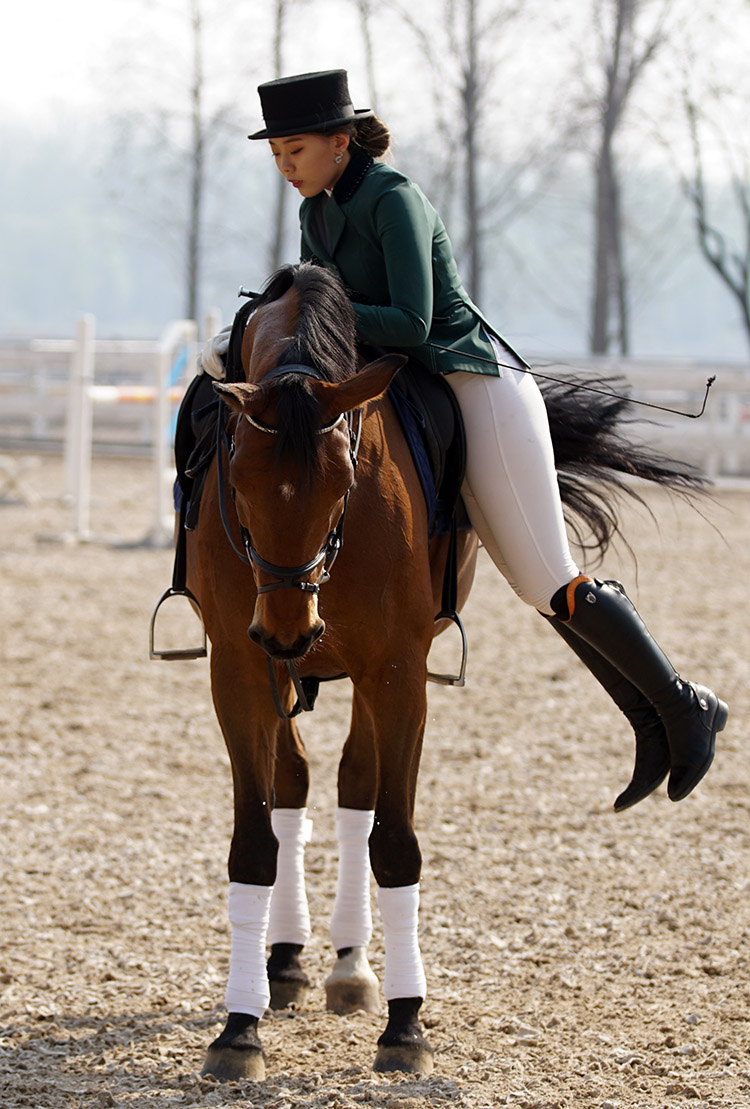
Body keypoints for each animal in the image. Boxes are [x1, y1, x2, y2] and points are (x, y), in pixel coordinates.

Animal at [179, 257, 696, 1073]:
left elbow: (393, 840)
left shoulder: (396, 670)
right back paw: (287, 958)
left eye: (342, 479)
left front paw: (405, 1024)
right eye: (238, 474)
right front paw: (239, 1028)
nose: (292, 630)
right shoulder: (238, 665)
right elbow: (254, 843)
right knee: (297, 779)